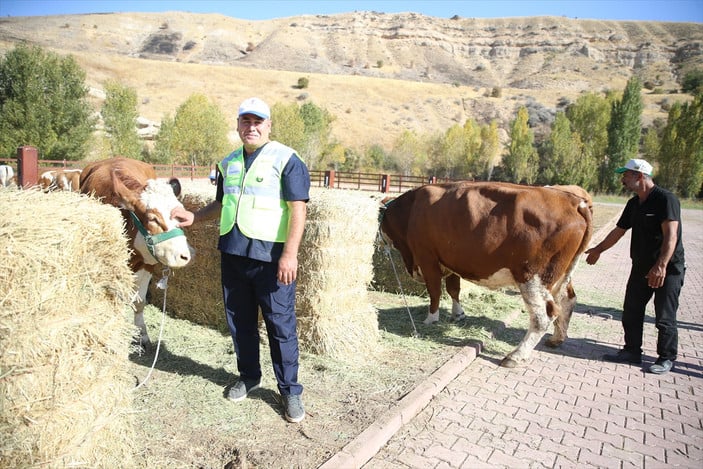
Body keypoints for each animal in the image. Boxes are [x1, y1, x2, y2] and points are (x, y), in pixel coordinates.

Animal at [80, 157, 192, 348]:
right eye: (153, 219)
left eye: (180, 214)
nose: (184, 256)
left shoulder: (147, 263)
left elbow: (139, 301)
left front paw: (141, 334)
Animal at [380, 181, 592, 368]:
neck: (411, 209)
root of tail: (574, 202)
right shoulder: (451, 260)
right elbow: (453, 289)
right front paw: (458, 314)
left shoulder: (427, 258)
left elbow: (435, 291)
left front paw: (431, 319)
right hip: (560, 276)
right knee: (568, 300)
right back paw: (556, 339)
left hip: (532, 277)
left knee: (544, 315)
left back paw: (515, 356)